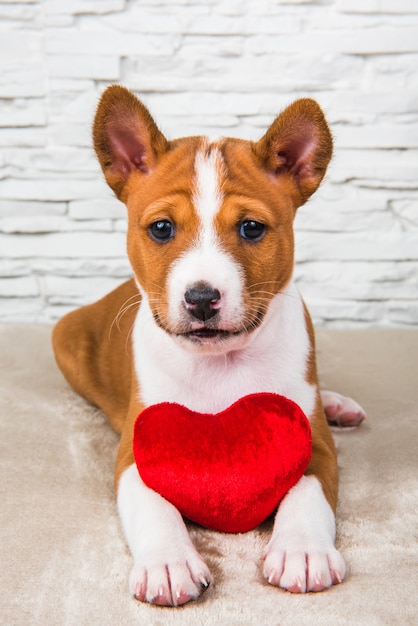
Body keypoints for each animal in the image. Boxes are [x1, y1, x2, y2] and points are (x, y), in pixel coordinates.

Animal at [53, 84, 366, 604]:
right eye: (161, 228)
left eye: (251, 228)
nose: (201, 298)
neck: (220, 364)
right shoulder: (138, 451)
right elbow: (155, 505)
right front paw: (167, 562)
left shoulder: (312, 442)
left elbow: (305, 492)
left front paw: (302, 551)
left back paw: (338, 403)